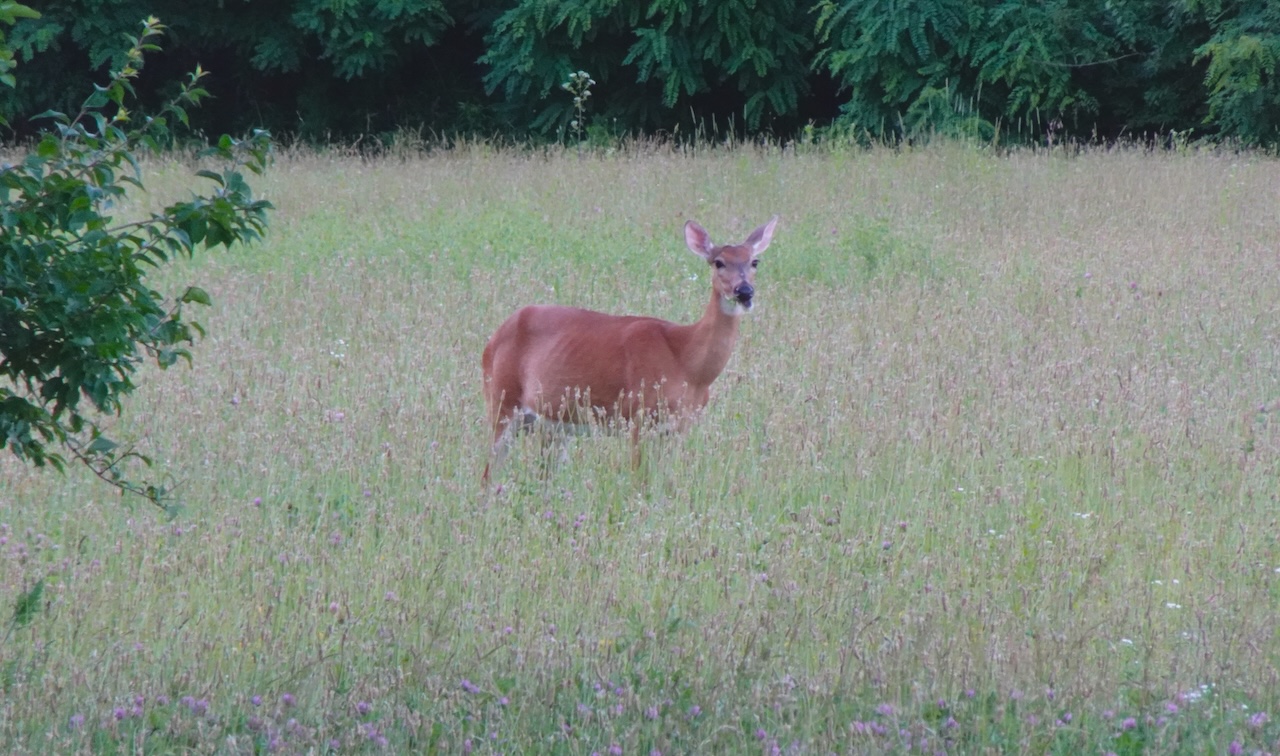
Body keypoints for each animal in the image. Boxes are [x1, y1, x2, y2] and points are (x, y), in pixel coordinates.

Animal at [480, 216, 778, 483]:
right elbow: (639, 479)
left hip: (553, 423)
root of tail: (492, 339)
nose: (744, 291)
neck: (687, 362)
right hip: (501, 399)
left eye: (754, 261)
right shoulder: (638, 413)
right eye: (718, 262)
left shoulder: (681, 425)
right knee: (488, 471)